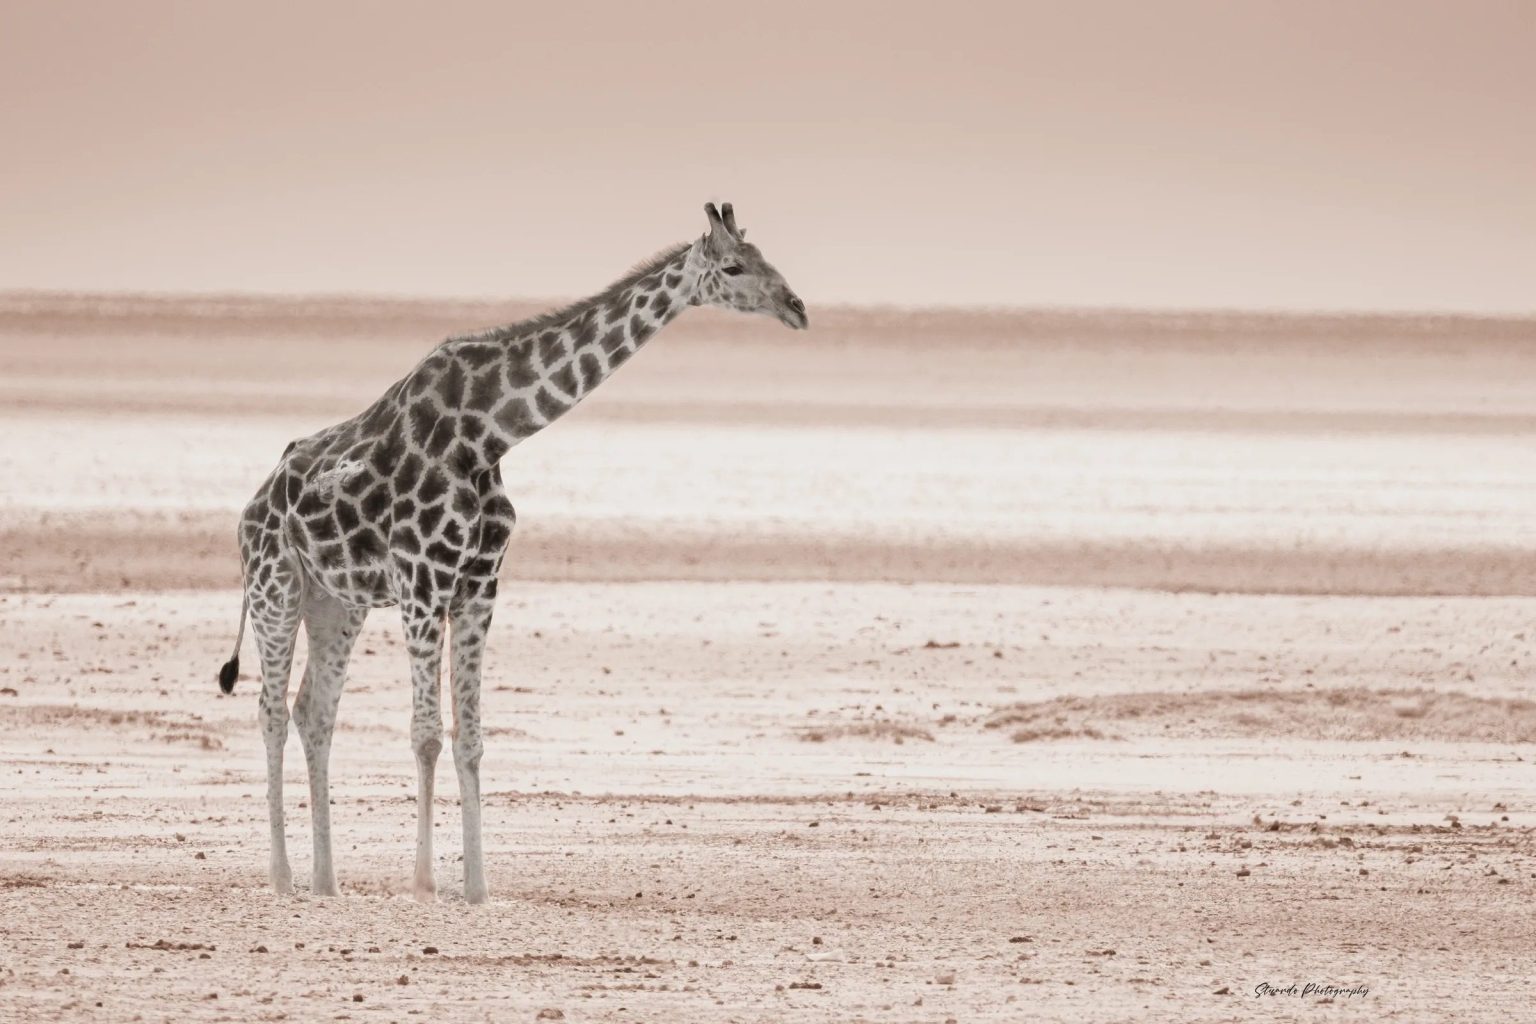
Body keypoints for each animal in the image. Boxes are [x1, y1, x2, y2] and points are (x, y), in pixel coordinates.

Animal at [216, 202, 806, 903]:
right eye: (735, 267)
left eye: (766, 256)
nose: (797, 306)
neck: (488, 433)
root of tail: (249, 509)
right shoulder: (422, 583)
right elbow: (425, 734)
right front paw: (425, 884)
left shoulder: (479, 587)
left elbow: (470, 738)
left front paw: (476, 888)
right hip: (275, 587)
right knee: (272, 710)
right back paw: (281, 877)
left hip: (336, 603)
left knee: (314, 711)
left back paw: (326, 882)